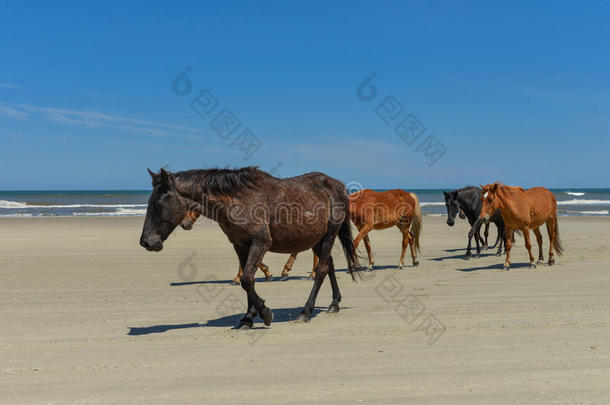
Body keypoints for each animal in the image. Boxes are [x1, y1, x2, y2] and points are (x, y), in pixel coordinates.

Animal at [139, 167, 356, 328]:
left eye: (158, 203)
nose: (146, 242)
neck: (237, 199)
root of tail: (337, 186)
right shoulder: (241, 245)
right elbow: (247, 279)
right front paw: (248, 318)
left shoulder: (260, 243)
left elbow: (246, 279)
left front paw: (265, 313)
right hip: (317, 239)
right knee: (329, 267)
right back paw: (334, 303)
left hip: (329, 235)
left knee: (321, 271)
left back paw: (306, 311)